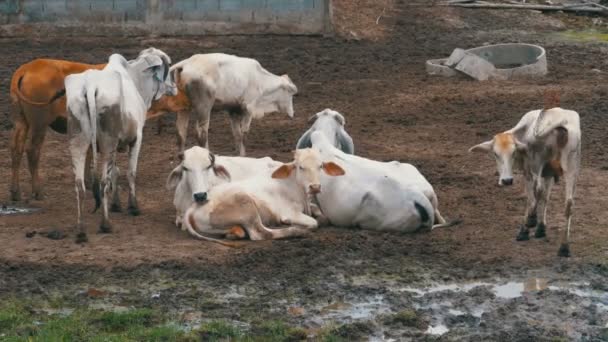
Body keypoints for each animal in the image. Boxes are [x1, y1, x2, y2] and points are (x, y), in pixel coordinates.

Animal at [9, 59, 105, 202]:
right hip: (39, 123)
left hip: (20, 120)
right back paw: (37, 191)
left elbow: (88, 151)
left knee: (16, 150)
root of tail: (27, 68)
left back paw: (15, 193)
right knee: (32, 151)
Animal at [148, 53, 298, 155]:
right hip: (204, 107)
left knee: (181, 133)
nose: (292, 113)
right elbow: (244, 135)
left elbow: (237, 135)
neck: (260, 80)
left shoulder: (233, 110)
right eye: (291, 93)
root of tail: (185, 64)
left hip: (184, 107)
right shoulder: (248, 108)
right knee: (201, 133)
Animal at [183, 148, 344, 244]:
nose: (315, 187)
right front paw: (292, 224)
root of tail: (193, 206)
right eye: (300, 167)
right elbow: (314, 222)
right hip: (246, 205)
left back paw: (234, 233)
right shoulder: (290, 213)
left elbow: (323, 216)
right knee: (260, 234)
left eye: (320, 166)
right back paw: (296, 231)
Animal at [468, 107, 580, 256]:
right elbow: (545, 197)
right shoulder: (549, 173)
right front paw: (541, 229)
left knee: (538, 189)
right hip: (571, 167)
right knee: (569, 204)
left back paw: (531, 221)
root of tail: (561, 121)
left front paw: (526, 230)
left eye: (513, 152)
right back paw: (564, 247)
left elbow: (531, 198)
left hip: (537, 162)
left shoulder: (528, 172)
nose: (507, 180)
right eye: (496, 154)